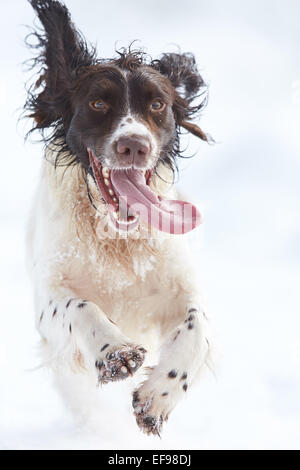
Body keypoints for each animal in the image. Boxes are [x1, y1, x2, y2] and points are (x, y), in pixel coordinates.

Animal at [25, 0, 213, 436]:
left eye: (157, 104)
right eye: (98, 104)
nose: (134, 145)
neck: (116, 240)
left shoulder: (179, 285)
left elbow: (196, 327)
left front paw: (158, 396)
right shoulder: (49, 293)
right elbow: (78, 307)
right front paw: (115, 353)